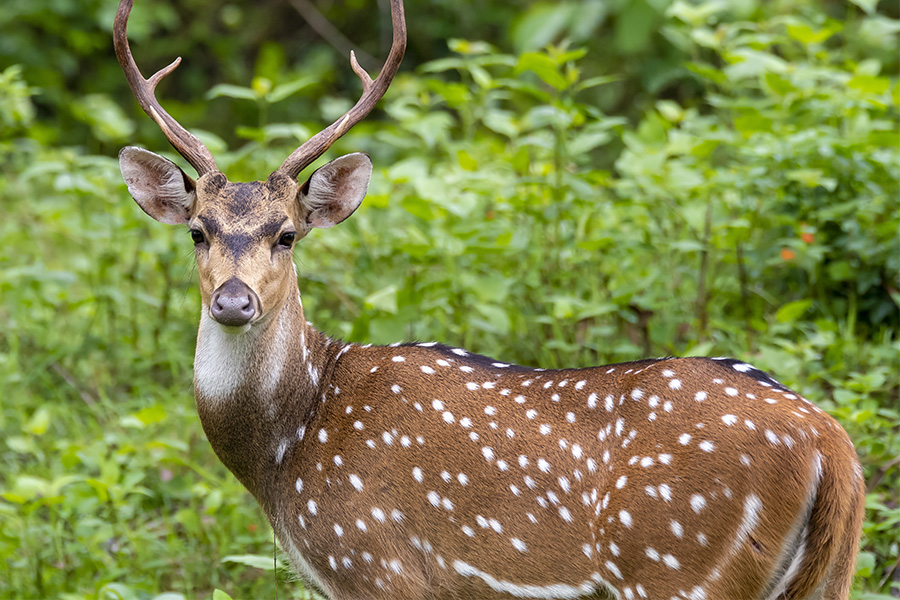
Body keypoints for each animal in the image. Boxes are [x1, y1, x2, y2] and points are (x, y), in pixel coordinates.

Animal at [112, 0, 864, 596]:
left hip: (679, 565)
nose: (234, 302)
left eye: (288, 234)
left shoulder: (379, 565)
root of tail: (834, 446)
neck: (285, 449)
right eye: (198, 231)